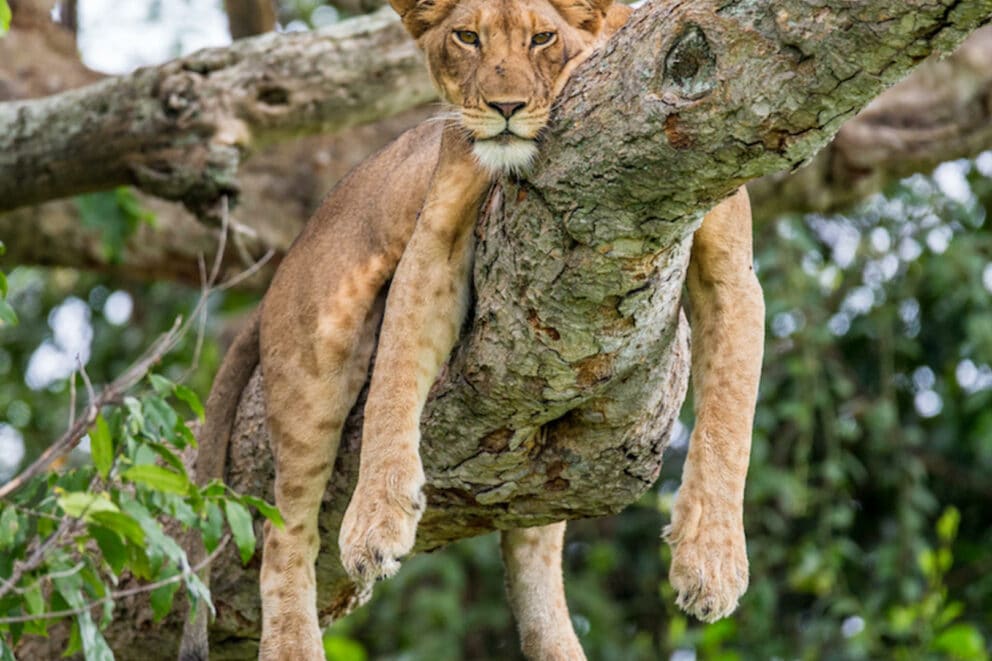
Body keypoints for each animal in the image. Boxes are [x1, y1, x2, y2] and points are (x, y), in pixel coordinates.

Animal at [182, 1, 764, 659]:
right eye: (467, 37)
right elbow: (394, 379)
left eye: (542, 38)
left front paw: (712, 563)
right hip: (315, 356)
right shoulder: (435, 234)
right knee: (285, 537)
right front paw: (376, 519)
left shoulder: (732, 273)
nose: (504, 107)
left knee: (535, 562)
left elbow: (729, 424)